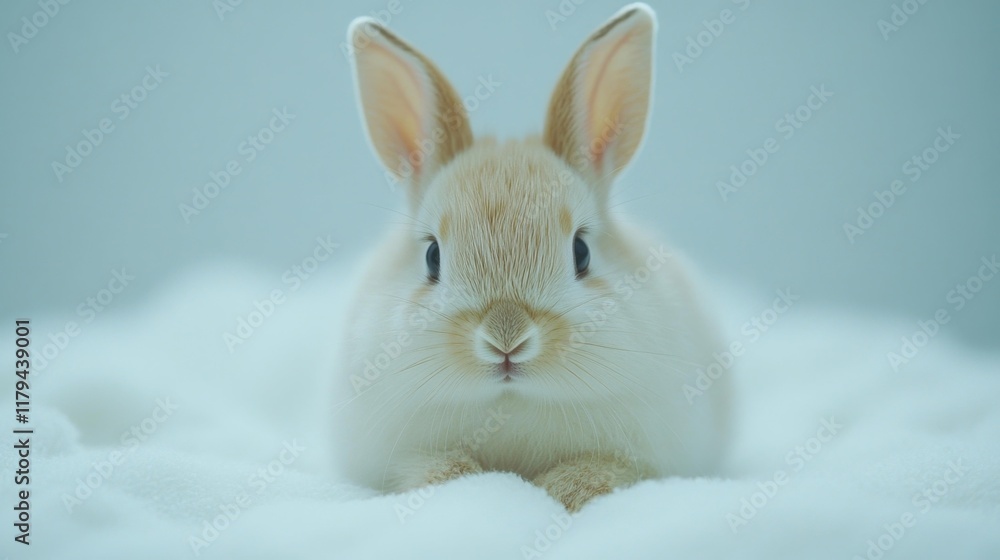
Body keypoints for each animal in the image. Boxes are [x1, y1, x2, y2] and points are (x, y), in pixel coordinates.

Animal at [333, 2, 731, 513]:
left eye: (582, 251)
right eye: (432, 257)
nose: (506, 339)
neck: (510, 406)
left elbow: (606, 472)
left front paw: (568, 489)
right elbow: (430, 468)